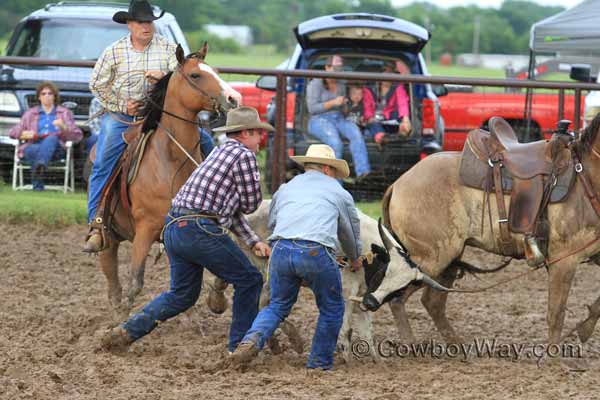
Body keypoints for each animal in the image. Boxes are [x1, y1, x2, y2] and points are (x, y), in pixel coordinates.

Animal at [364, 115, 600, 354]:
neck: (585, 176)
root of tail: (397, 183)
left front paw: (584, 329)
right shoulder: (564, 260)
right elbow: (556, 313)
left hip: (449, 259)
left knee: (432, 302)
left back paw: (456, 346)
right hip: (430, 260)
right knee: (397, 298)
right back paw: (410, 344)